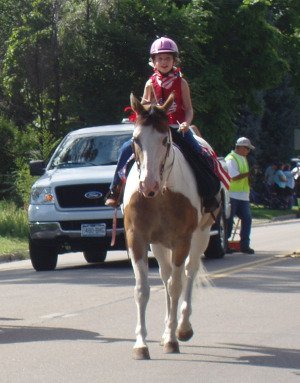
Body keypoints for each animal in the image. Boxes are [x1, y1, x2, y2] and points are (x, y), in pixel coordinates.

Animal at [123, 92, 214, 360]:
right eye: (136, 139)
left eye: (165, 140)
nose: (148, 184)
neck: (162, 194)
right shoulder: (137, 238)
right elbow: (142, 289)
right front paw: (141, 344)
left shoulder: (183, 240)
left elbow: (176, 286)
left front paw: (173, 339)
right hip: (160, 245)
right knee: (165, 276)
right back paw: (166, 331)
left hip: (200, 236)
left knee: (188, 273)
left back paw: (181, 328)